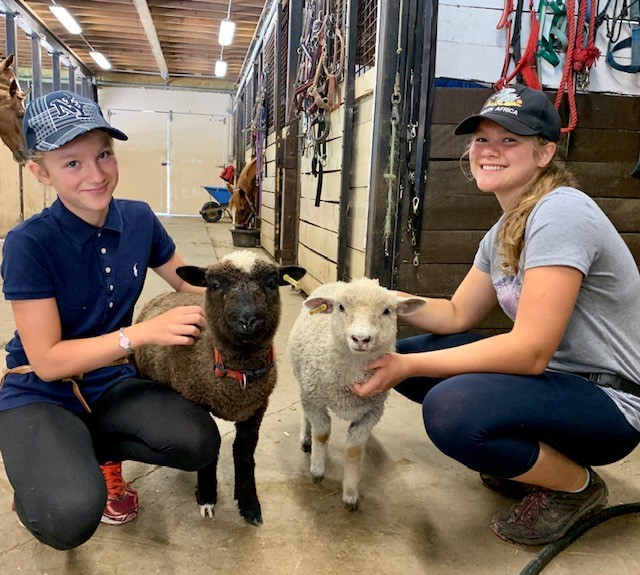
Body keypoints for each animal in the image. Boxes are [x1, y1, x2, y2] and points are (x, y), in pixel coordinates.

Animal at [288, 278, 424, 508]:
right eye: (341, 307)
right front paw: (317, 469)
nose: (361, 338)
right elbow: (321, 434)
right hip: (304, 382)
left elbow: (354, 451)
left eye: (387, 311)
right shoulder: (314, 400)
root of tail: (338, 281)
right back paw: (306, 436)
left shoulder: (371, 412)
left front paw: (350, 494)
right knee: (305, 411)